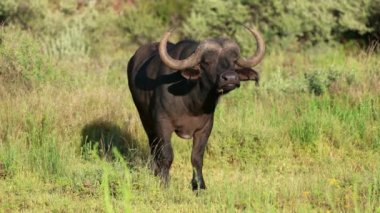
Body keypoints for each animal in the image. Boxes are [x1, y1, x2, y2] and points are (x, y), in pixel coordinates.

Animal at [127, 26, 264, 190]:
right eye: (207, 61)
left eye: (234, 61)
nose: (230, 78)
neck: (191, 103)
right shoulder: (162, 124)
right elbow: (167, 155)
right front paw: (165, 183)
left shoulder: (205, 128)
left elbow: (197, 157)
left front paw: (199, 186)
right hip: (145, 119)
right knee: (154, 147)